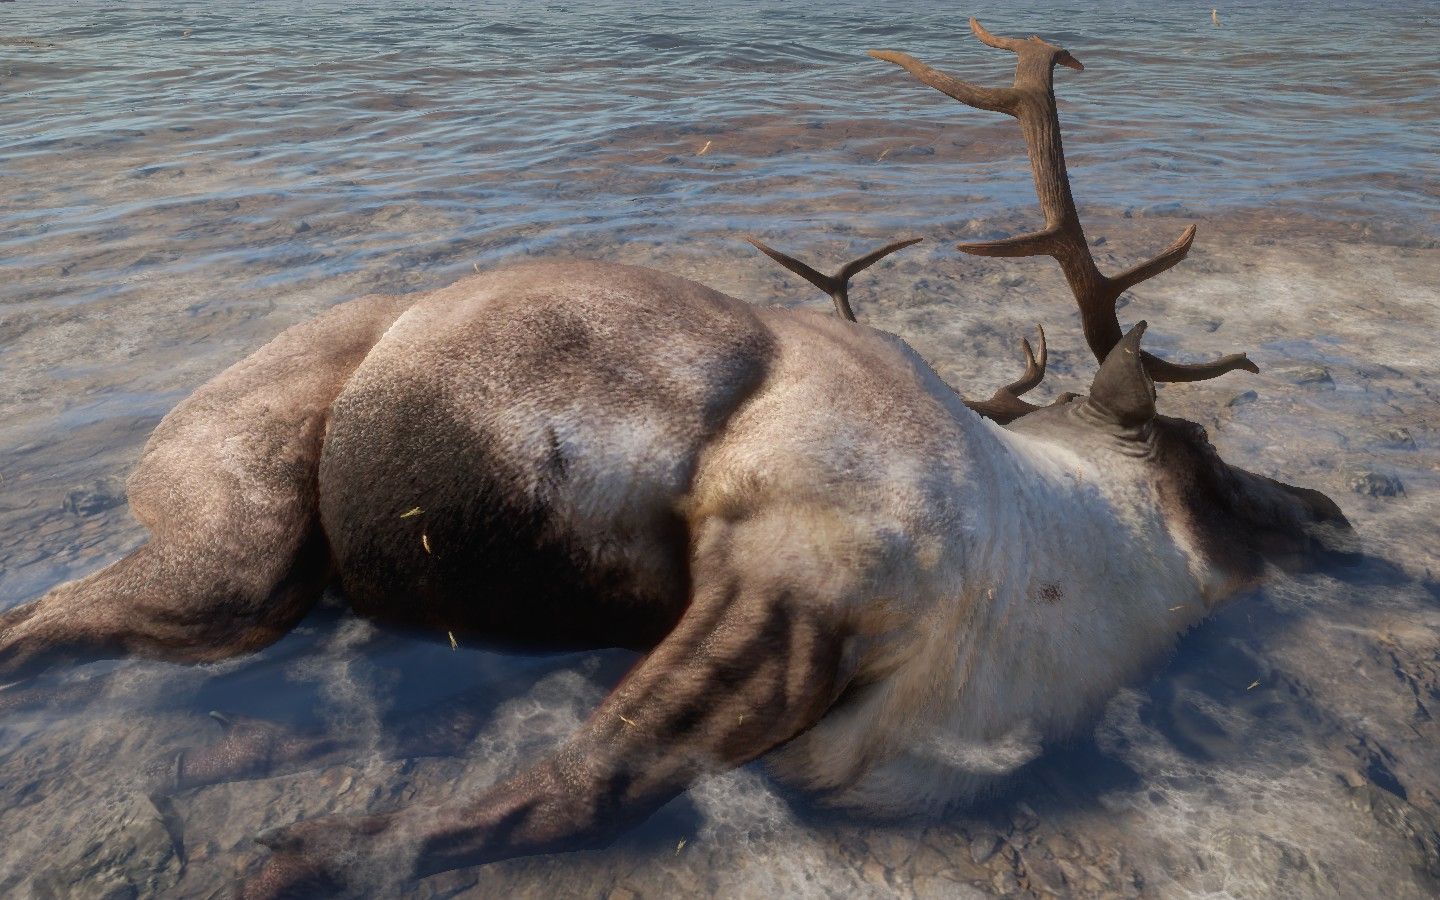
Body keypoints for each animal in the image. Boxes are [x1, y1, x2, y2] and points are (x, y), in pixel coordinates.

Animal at [0, 19, 1353, 899]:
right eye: (1207, 456)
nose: (1333, 513)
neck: (1046, 573)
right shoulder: (780, 586)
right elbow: (567, 790)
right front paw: (298, 858)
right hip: (227, 551)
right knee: (57, 617)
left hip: (275, 580)